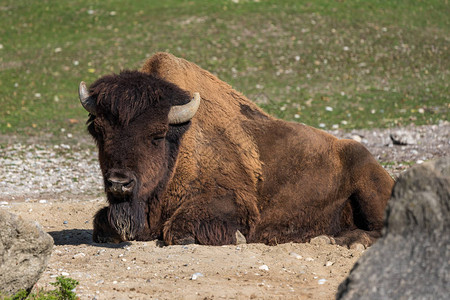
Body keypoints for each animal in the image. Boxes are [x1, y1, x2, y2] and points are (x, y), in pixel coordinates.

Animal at [79, 52, 396, 247]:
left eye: (157, 135)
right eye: (99, 131)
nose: (119, 183)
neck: (180, 142)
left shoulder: (234, 202)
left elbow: (179, 231)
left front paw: (238, 238)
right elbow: (101, 222)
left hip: (370, 186)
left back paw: (343, 241)